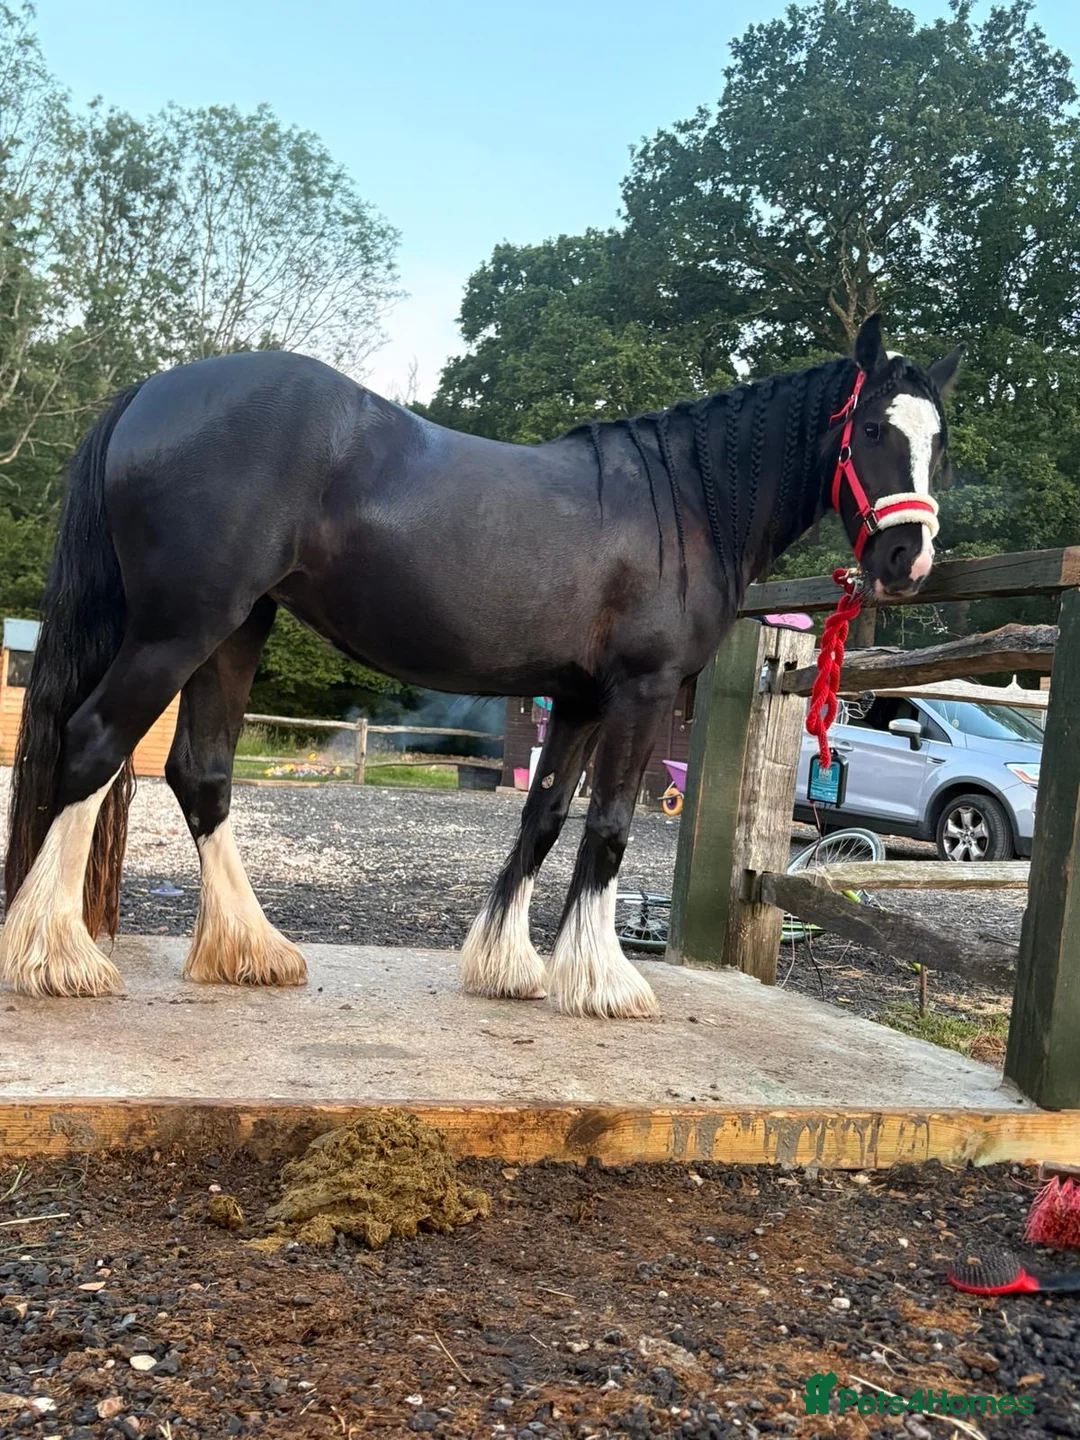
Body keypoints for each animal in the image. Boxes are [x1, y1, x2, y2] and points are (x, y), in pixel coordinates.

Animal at [0, 314, 961, 1015]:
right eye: (873, 428)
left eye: (940, 441)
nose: (908, 559)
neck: (684, 503)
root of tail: (151, 391)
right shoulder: (641, 693)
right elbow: (610, 828)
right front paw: (604, 982)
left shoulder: (577, 701)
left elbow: (542, 818)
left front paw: (508, 967)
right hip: (180, 629)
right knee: (96, 743)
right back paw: (57, 957)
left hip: (237, 628)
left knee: (200, 772)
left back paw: (250, 951)